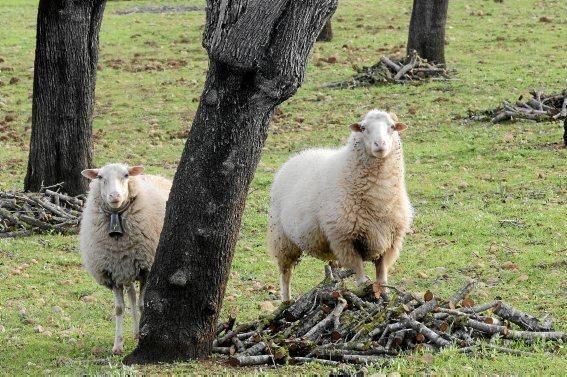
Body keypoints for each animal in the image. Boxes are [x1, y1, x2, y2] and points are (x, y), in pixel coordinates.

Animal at [79, 163, 171, 354]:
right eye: (100, 177)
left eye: (126, 175)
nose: (115, 196)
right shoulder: (113, 273)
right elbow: (119, 309)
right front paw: (117, 345)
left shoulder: (146, 270)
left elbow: (144, 305)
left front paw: (142, 336)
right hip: (126, 269)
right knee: (132, 296)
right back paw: (135, 332)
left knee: (136, 299)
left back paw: (137, 333)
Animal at [268, 108, 414, 300]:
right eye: (363, 128)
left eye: (392, 127)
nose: (380, 144)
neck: (379, 200)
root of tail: (299, 155)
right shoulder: (345, 239)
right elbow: (361, 277)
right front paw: (364, 291)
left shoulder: (390, 240)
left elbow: (382, 277)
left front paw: (384, 296)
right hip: (282, 238)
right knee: (285, 273)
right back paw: (286, 300)